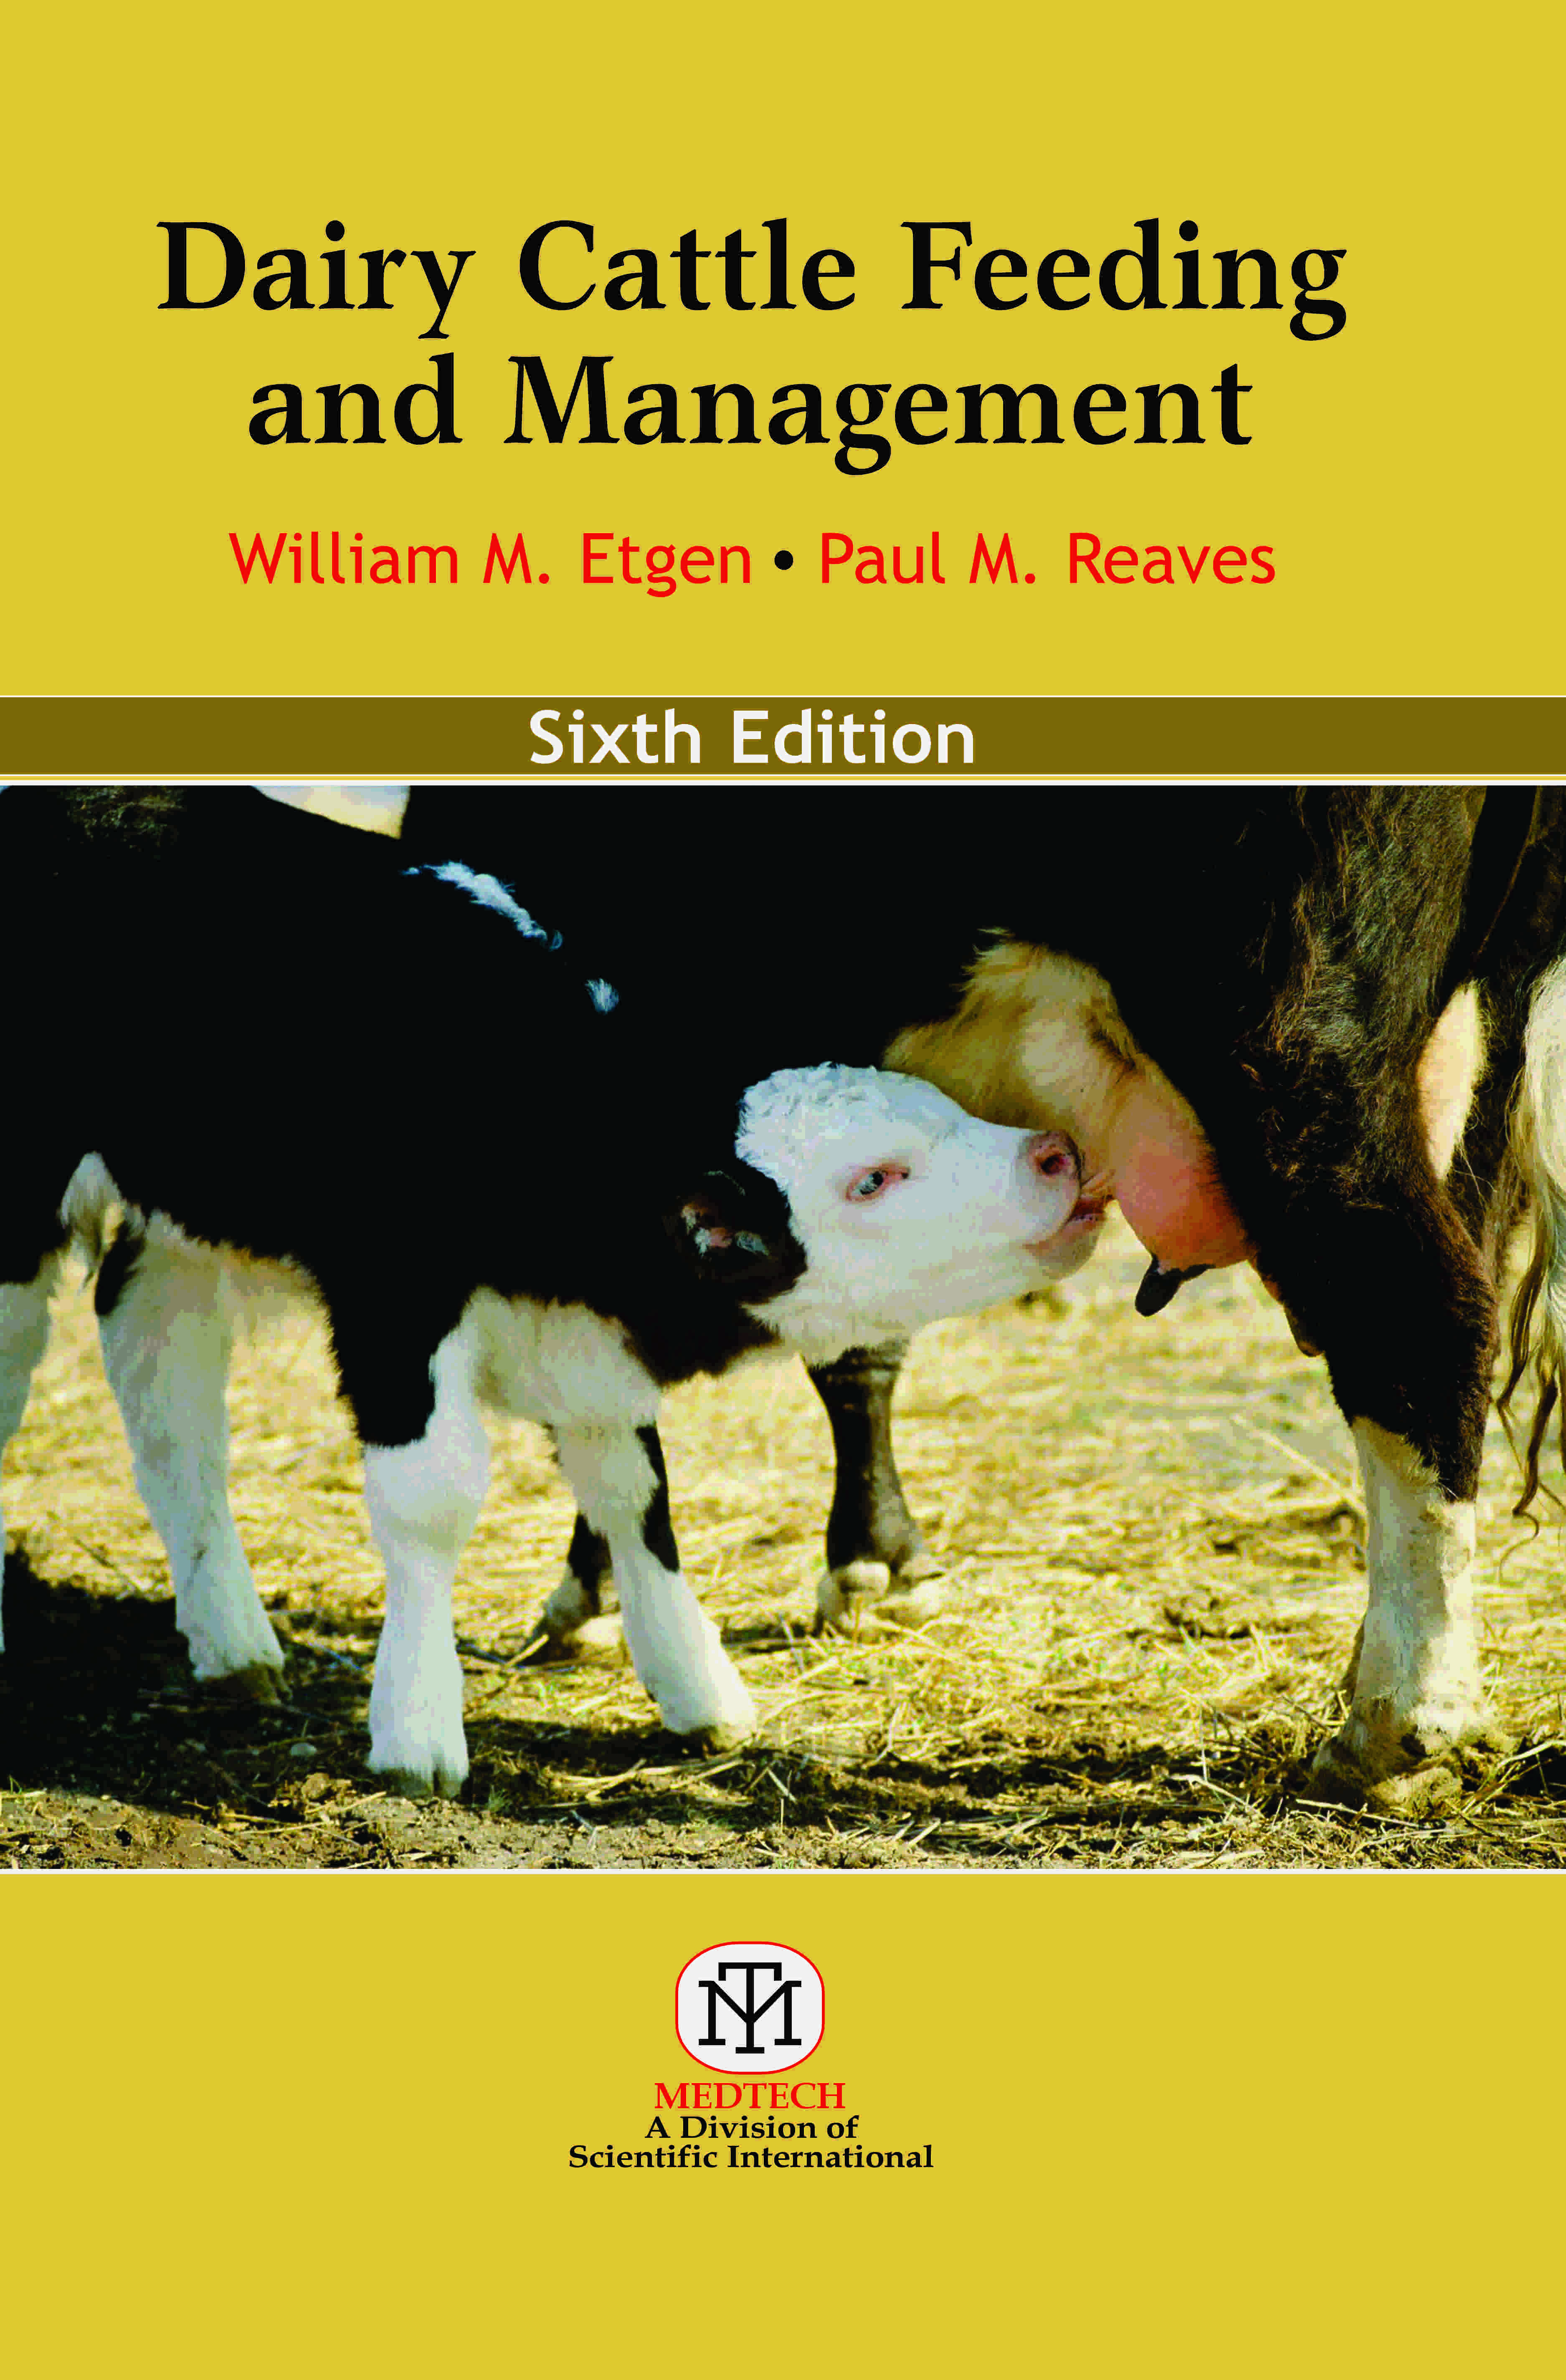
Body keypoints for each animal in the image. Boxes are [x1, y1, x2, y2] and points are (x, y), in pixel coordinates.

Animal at [0, 787, 1095, 1795]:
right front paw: (417, 1730)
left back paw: (231, 1641)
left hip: (176, 1221)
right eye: (872, 1179)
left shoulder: (584, 1339)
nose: (1055, 1155)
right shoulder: (394, 1303)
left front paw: (697, 1689)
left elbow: (635, 1489)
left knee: (162, 1384)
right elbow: (431, 1501)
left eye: (944, 1108)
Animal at [400, 785, 1566, 1812]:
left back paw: (1398, 1729)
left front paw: (596, 1591)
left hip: (1289, 1033)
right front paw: (874, 1562)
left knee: (1414, 1311)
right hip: (1473, 1041)